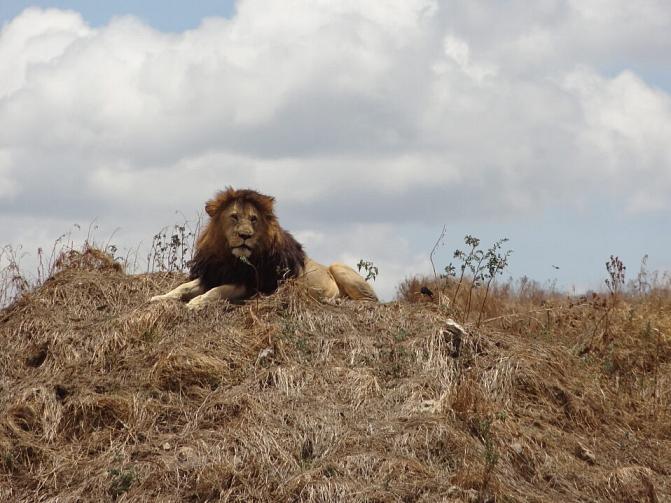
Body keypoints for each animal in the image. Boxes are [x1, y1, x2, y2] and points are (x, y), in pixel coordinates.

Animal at [150, 188, 378, 309]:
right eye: (234, 217)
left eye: (253, 219)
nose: (245, 236)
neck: (230, 258)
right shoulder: (213, 274)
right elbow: (182, 288)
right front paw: (159, 298)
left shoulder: (251, 285)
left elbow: (217, 291)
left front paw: (195, 303)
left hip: (339, 267)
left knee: (370, 301)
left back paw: (340, 302)